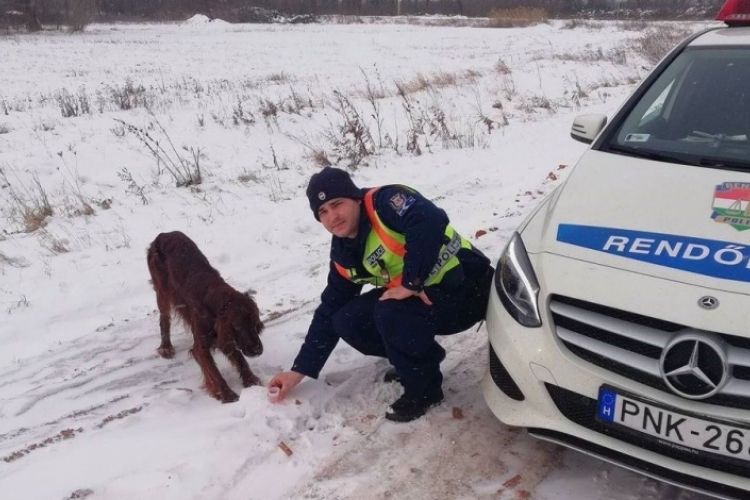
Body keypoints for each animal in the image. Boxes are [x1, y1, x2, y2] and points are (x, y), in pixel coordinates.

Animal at [147, 230, 264, 402]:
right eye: (238, 327)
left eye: (255, 324)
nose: (257, 350)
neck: (215, 299)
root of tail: (163, 234)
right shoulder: (201, 347)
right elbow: (214, 373)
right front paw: (227, 394)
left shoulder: (222, 335)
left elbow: (240, 359)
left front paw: (251, 380)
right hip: (163, 291)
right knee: (164, 319)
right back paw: (166, 348)